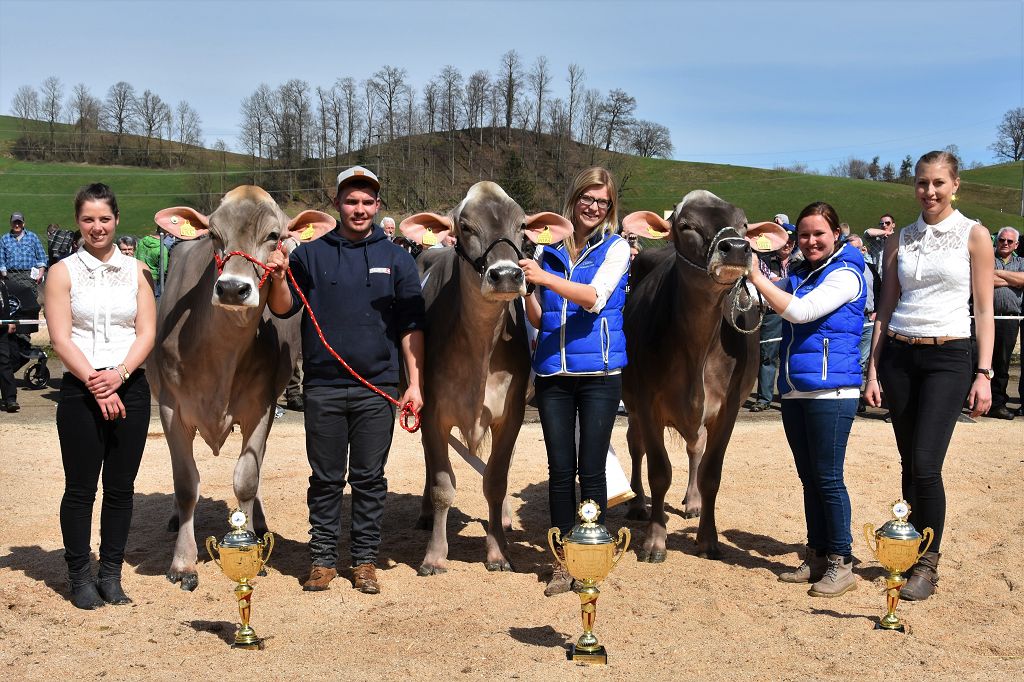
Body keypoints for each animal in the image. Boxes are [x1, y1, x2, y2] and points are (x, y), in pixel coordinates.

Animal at [151, 186, 334, 590]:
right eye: (214, 235)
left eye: (274, 236)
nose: (233, 288)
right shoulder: (172, 410)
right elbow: (186, 484)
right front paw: (182, 563)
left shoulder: (260, 407)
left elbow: (247, 479)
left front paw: (252, 543)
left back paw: (259, 522)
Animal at [399, 182, 572, 575]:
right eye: (464, 226)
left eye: (522, 226)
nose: (506, 274)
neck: (479, 349)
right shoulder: (431, 413)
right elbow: (442, 484)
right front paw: (435, 555)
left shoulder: (512, 414)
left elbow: (496, 479)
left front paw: (498, 551)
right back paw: (425, 516)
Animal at [620, 190, 788, 562]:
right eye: (686, 226)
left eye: (744, 224)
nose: (737, 247)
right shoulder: (646, 402)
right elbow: (658, 471)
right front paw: (655, 540)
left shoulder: (728, 408)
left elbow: (712, 473)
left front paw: (707, 537)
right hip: (631, 402)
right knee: (635, 445)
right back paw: (638, 503)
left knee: (695, 448)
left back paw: (693, 501)